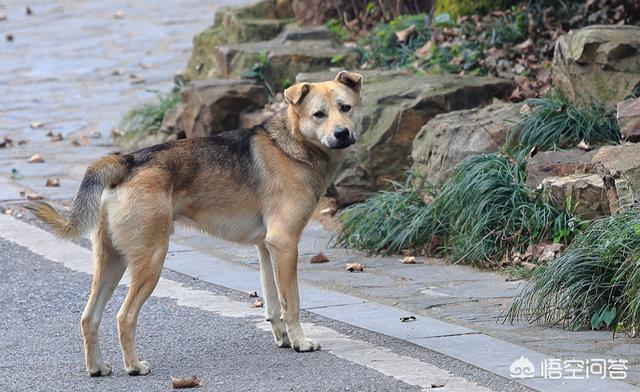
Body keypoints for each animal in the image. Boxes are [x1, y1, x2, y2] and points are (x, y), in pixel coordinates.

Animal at [27, 71, 362, 376]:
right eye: (318, 114)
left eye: (345, 107)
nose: (343, 133)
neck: (291, 144)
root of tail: (127, 161)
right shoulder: (285, 244)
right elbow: (291, 303)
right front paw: (300, 342)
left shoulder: (267, 248)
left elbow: (272, 303)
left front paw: (283, 339)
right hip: (150, 261)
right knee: (125, 317)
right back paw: (134, 366)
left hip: (111, 261)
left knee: (89, 317)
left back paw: (97, 368)